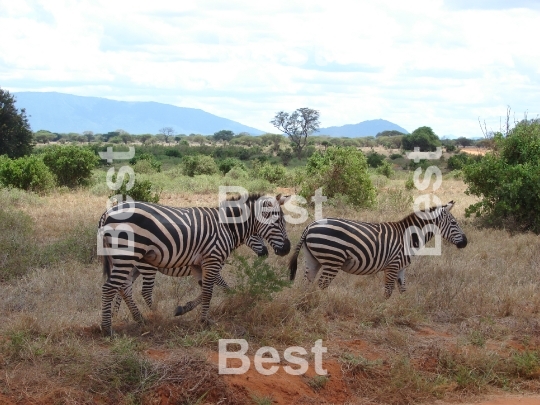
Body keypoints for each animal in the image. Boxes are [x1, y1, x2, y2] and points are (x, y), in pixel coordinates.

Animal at [111, 234, 268, 316]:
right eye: (256, 235)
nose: (266, 253)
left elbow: (207, 290)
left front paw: (185, 307)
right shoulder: (212, 270)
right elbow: (224, 288)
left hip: (134, 269)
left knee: (121, 289)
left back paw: (116, 315)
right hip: (147, 267)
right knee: (141, 290)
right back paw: (154, 314)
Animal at [288, 200, 466, 296]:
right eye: (454, 223)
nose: (465, 242)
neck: (409, 237)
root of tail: (310, 226)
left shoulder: (401, 268)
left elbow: (403, 290)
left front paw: (402, 310)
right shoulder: (393, 265)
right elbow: (388, 291)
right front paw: (383, 311)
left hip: (312, 259)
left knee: (306, 283)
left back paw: (307, 302)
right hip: (333, 260)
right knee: (321, 285)